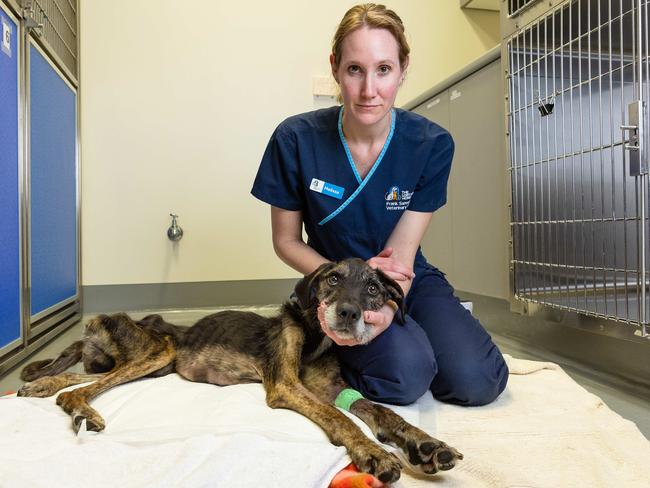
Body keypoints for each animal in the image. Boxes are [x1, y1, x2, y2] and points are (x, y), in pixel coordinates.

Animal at [16, 258, 460, 482]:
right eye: (333, 279)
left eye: (372, 289)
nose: (348, 314)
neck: (315, 336)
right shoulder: (285, 386)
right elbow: (342, 420)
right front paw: (373, 451)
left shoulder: (329, 390)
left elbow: (380, 411)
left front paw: (427, 444)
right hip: (158, 350)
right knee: (79, 390)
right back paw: (75, 406)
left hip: (153, 365)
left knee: (82, 377)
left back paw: (41, 387)